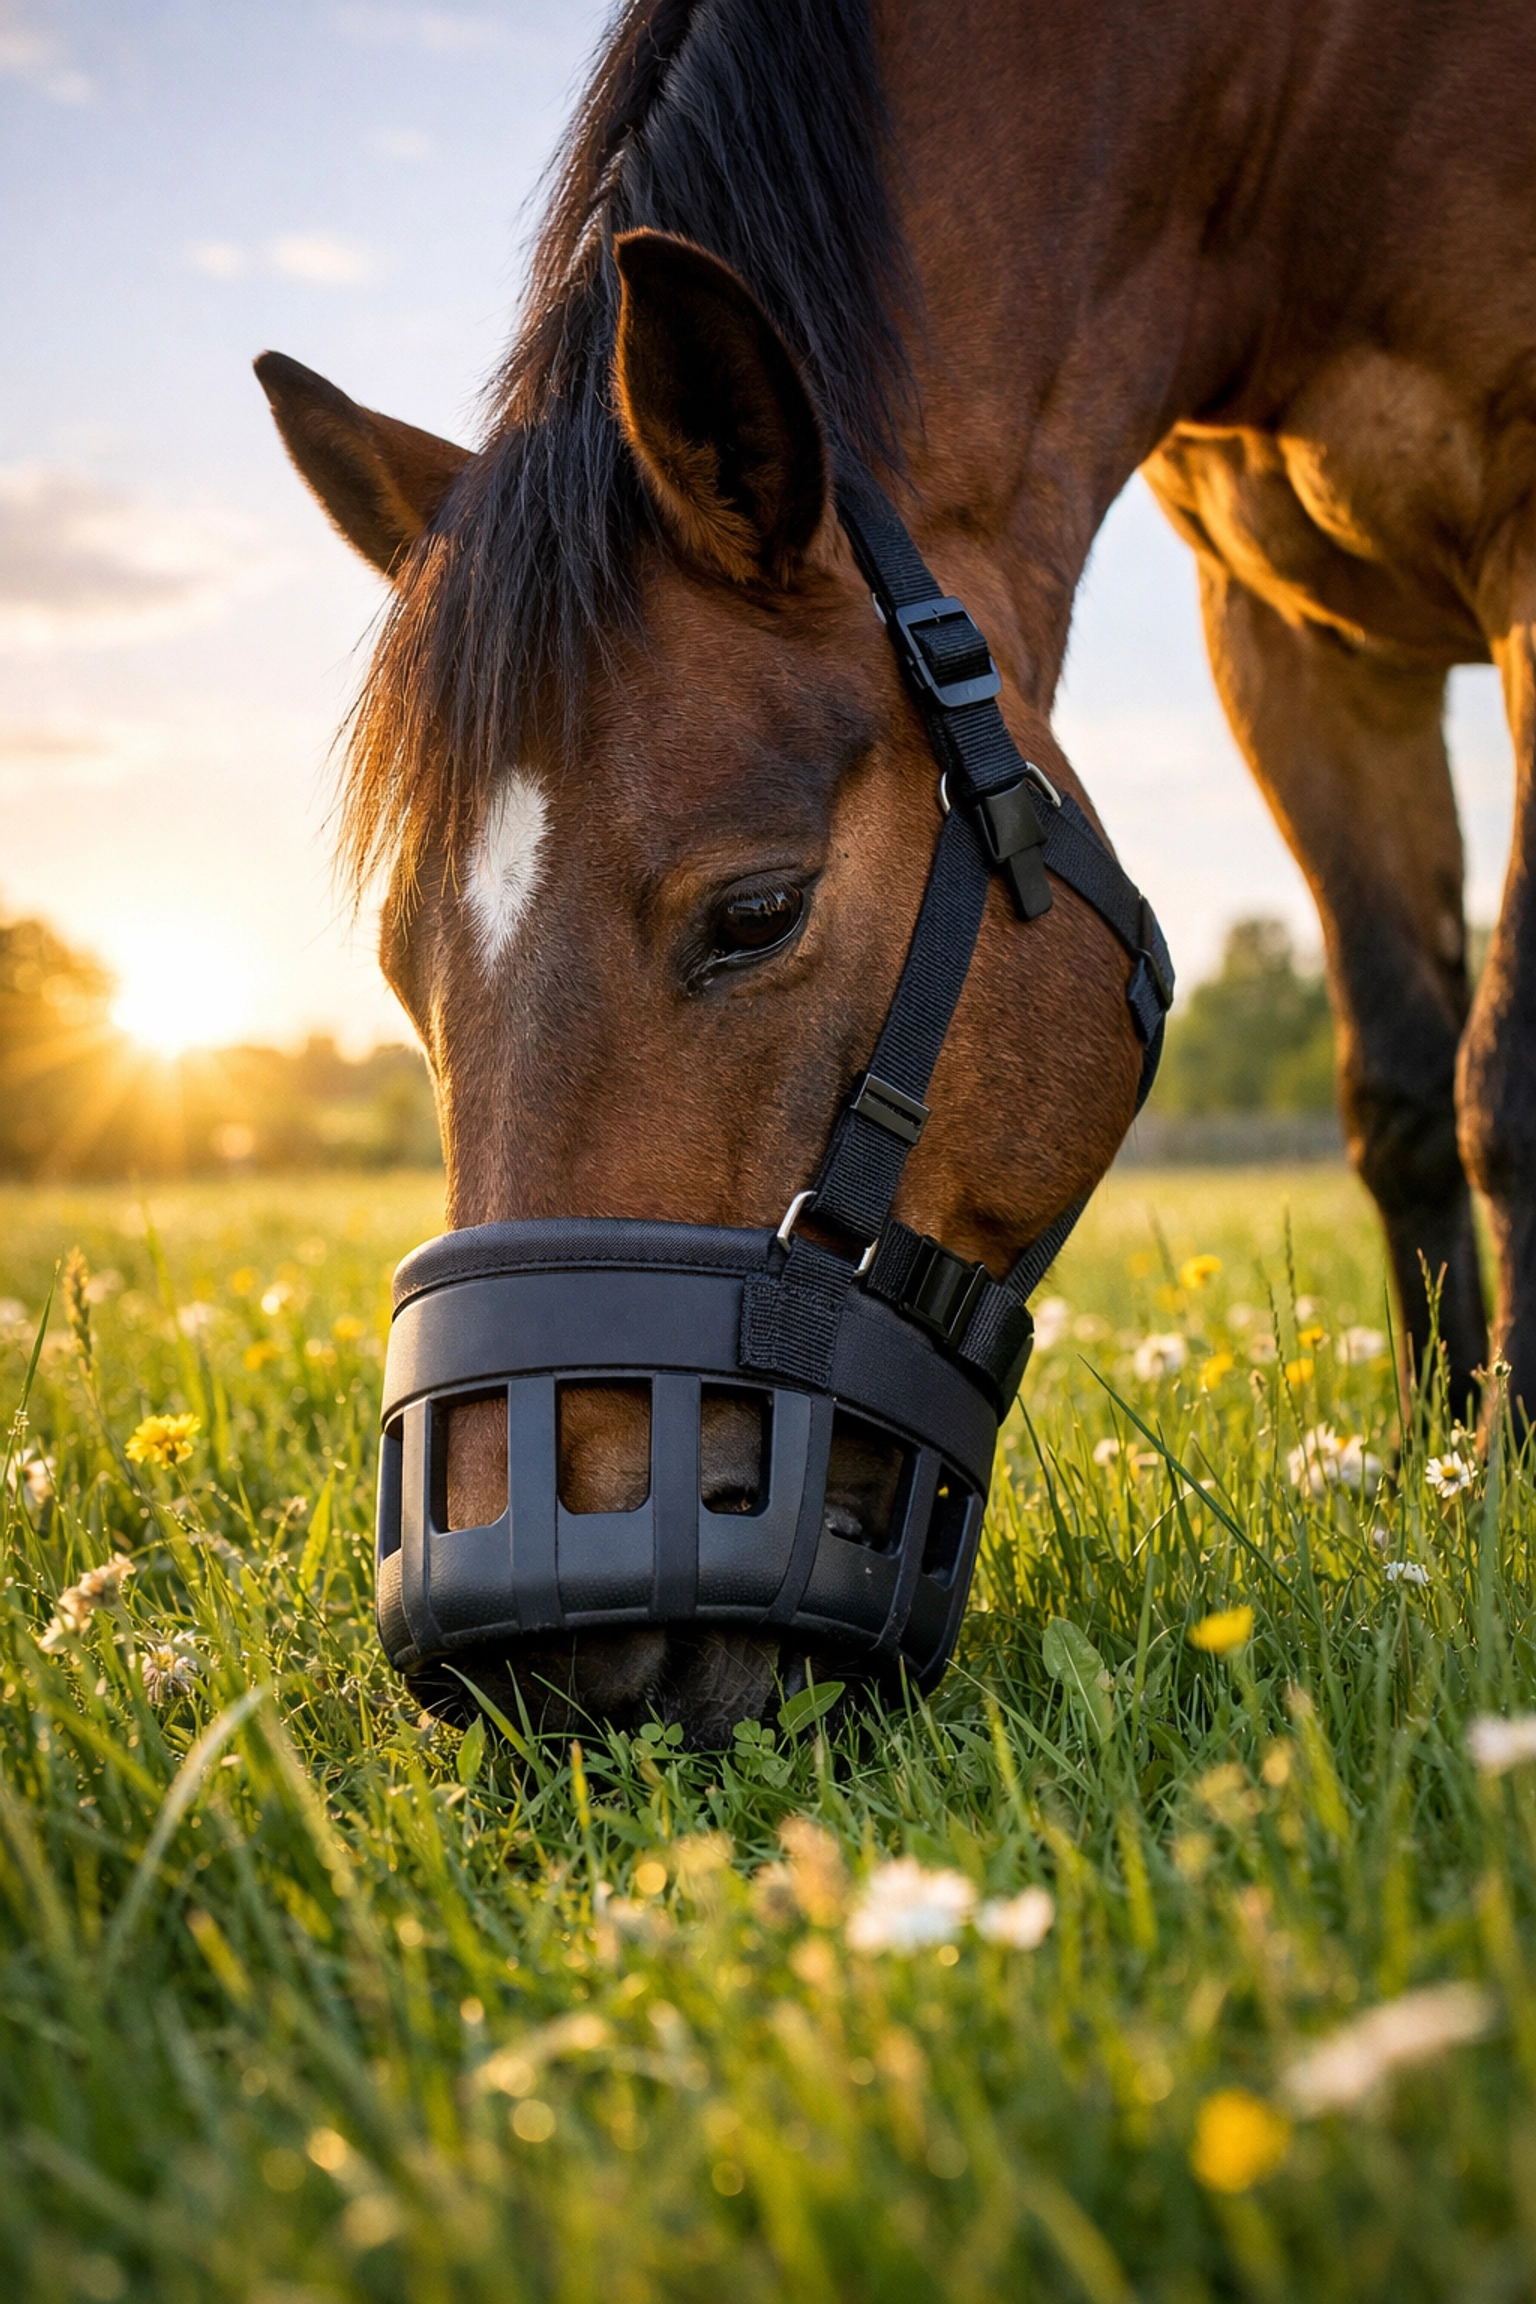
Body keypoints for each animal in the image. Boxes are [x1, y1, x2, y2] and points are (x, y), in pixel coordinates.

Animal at [258, 0, 1536, 1742]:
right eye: (405, 968)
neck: (1307, 111)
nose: (532, 1663)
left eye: (757, 913)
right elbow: (1403, 1095)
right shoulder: (1290, 640)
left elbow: (1503, 1082)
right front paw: (1434, 1475)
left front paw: (1507, 1488)